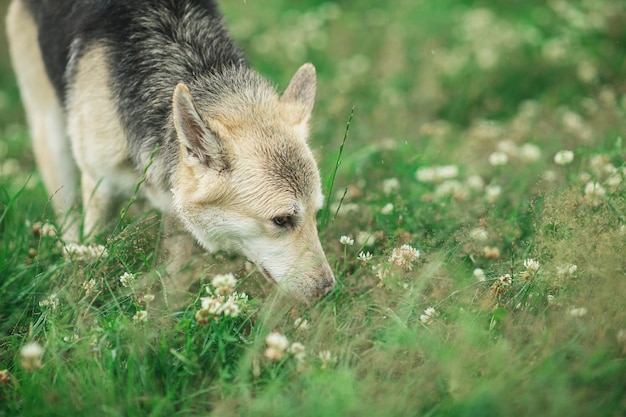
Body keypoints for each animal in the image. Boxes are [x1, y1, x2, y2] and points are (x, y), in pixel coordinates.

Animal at [6, 0, 336, 302]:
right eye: (281, 220)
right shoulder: (99, 185)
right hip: (53, 138)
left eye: (315, 213)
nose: (329, 289)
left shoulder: (174, 212)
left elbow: (175, 279)